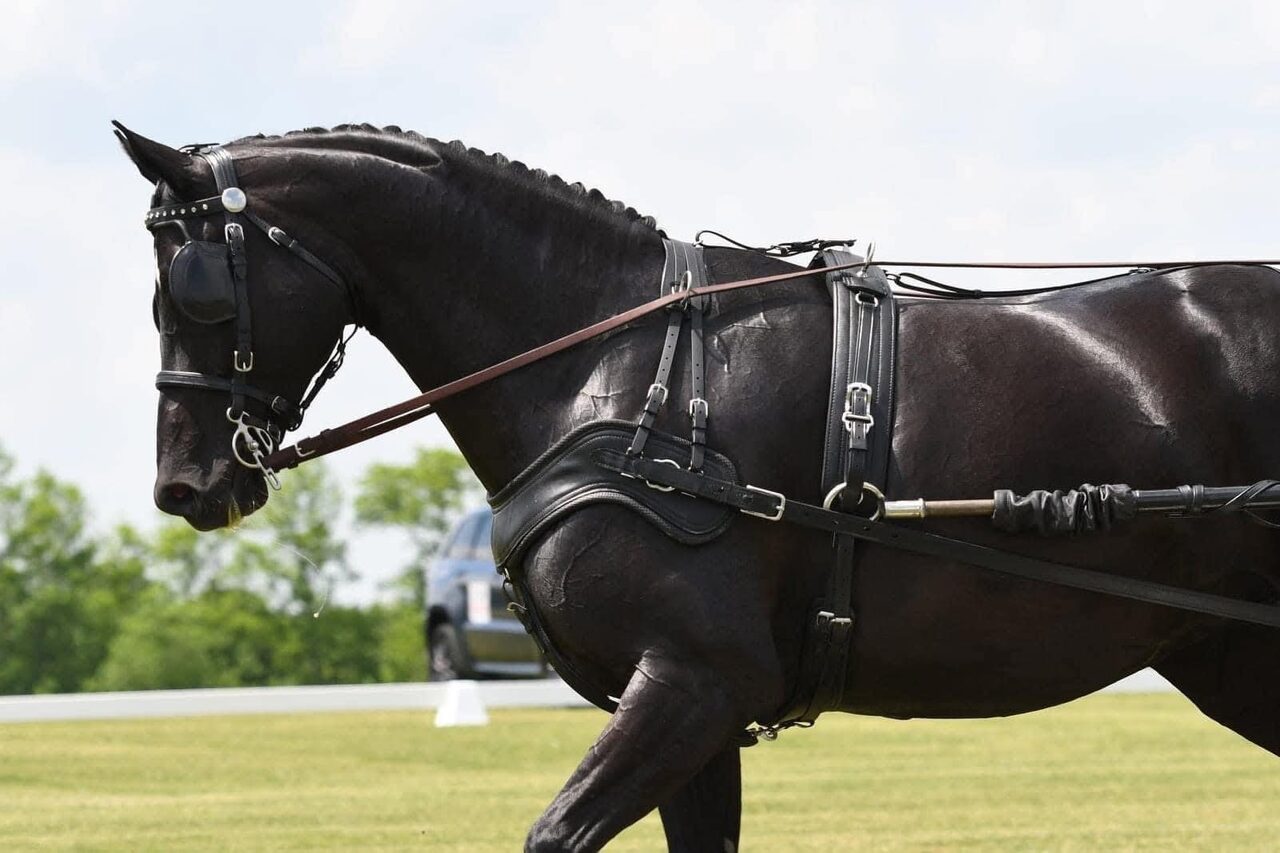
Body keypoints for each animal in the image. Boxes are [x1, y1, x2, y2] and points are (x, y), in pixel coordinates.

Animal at [115, 122, 1280, 852]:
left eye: (194, 288)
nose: (187, 483)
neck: (621, 368)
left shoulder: (691, 681)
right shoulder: (700, 712)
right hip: (1224, 654)